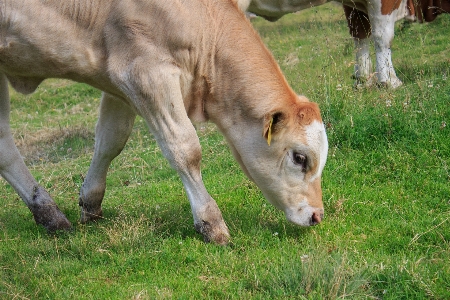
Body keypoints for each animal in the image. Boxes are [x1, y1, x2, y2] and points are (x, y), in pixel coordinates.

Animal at [0, 0, 330, 244]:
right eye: (300, 158)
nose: (317, 215)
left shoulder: (119, 84)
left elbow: (111, 140)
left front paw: (90, 203)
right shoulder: (146, 72)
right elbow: (185, 149)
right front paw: (210, 222)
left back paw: (47, 212)